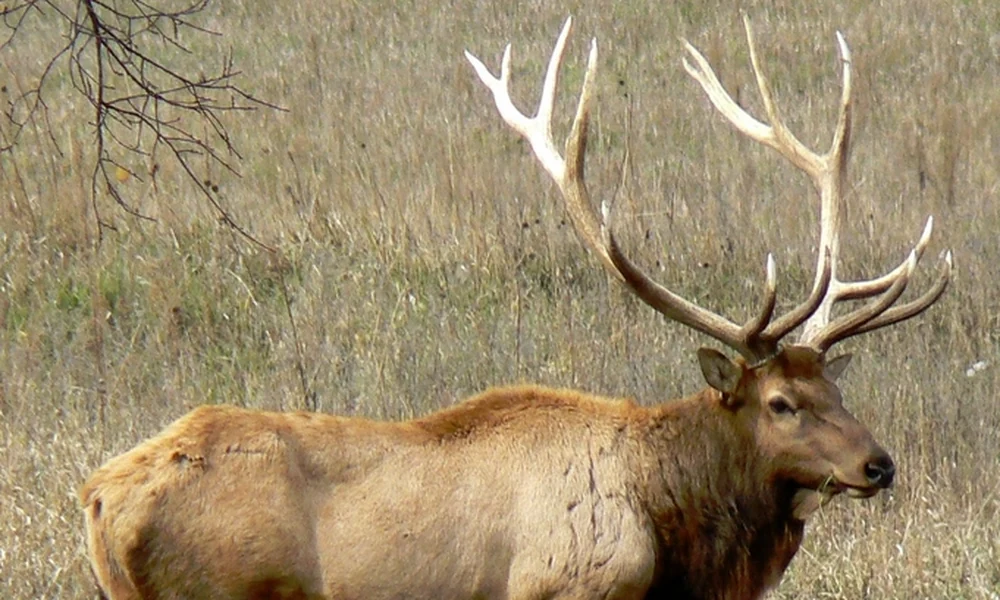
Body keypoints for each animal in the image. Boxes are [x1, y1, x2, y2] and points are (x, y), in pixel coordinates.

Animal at [79, 16, 951, 600]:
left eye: (835, 387)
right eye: (779, 403)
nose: (879, 463)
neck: (675, 541)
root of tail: (98, 497)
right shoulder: (563, 587)